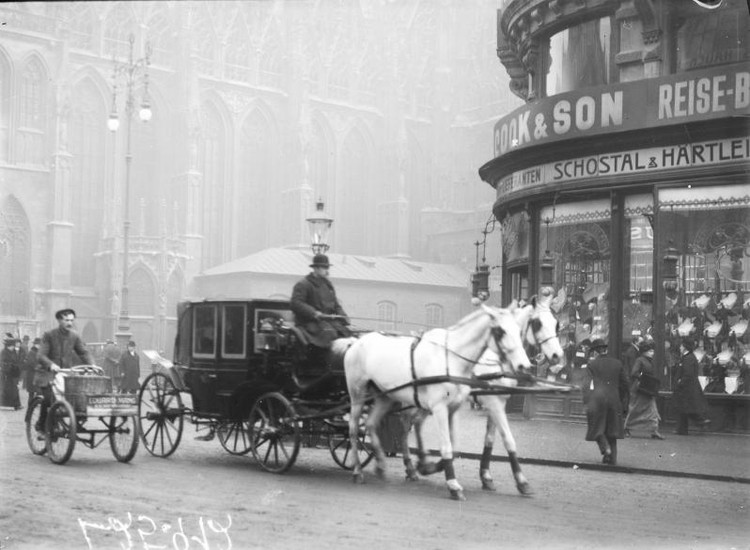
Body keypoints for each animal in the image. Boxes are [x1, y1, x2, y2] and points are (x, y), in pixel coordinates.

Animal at [344, 304, 532, 502]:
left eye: (519, 330)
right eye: (500, 331)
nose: (524, 366)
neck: (451, 359)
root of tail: (355, 342)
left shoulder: (454, 408)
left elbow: (457, 447)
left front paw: (433, 467)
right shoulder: (443, 407)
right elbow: (447, 446)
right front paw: (453, 484)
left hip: (385, 397)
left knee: (374, 424)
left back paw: (382, 464)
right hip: (357, 396)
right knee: (354, 429)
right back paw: (357, 470)